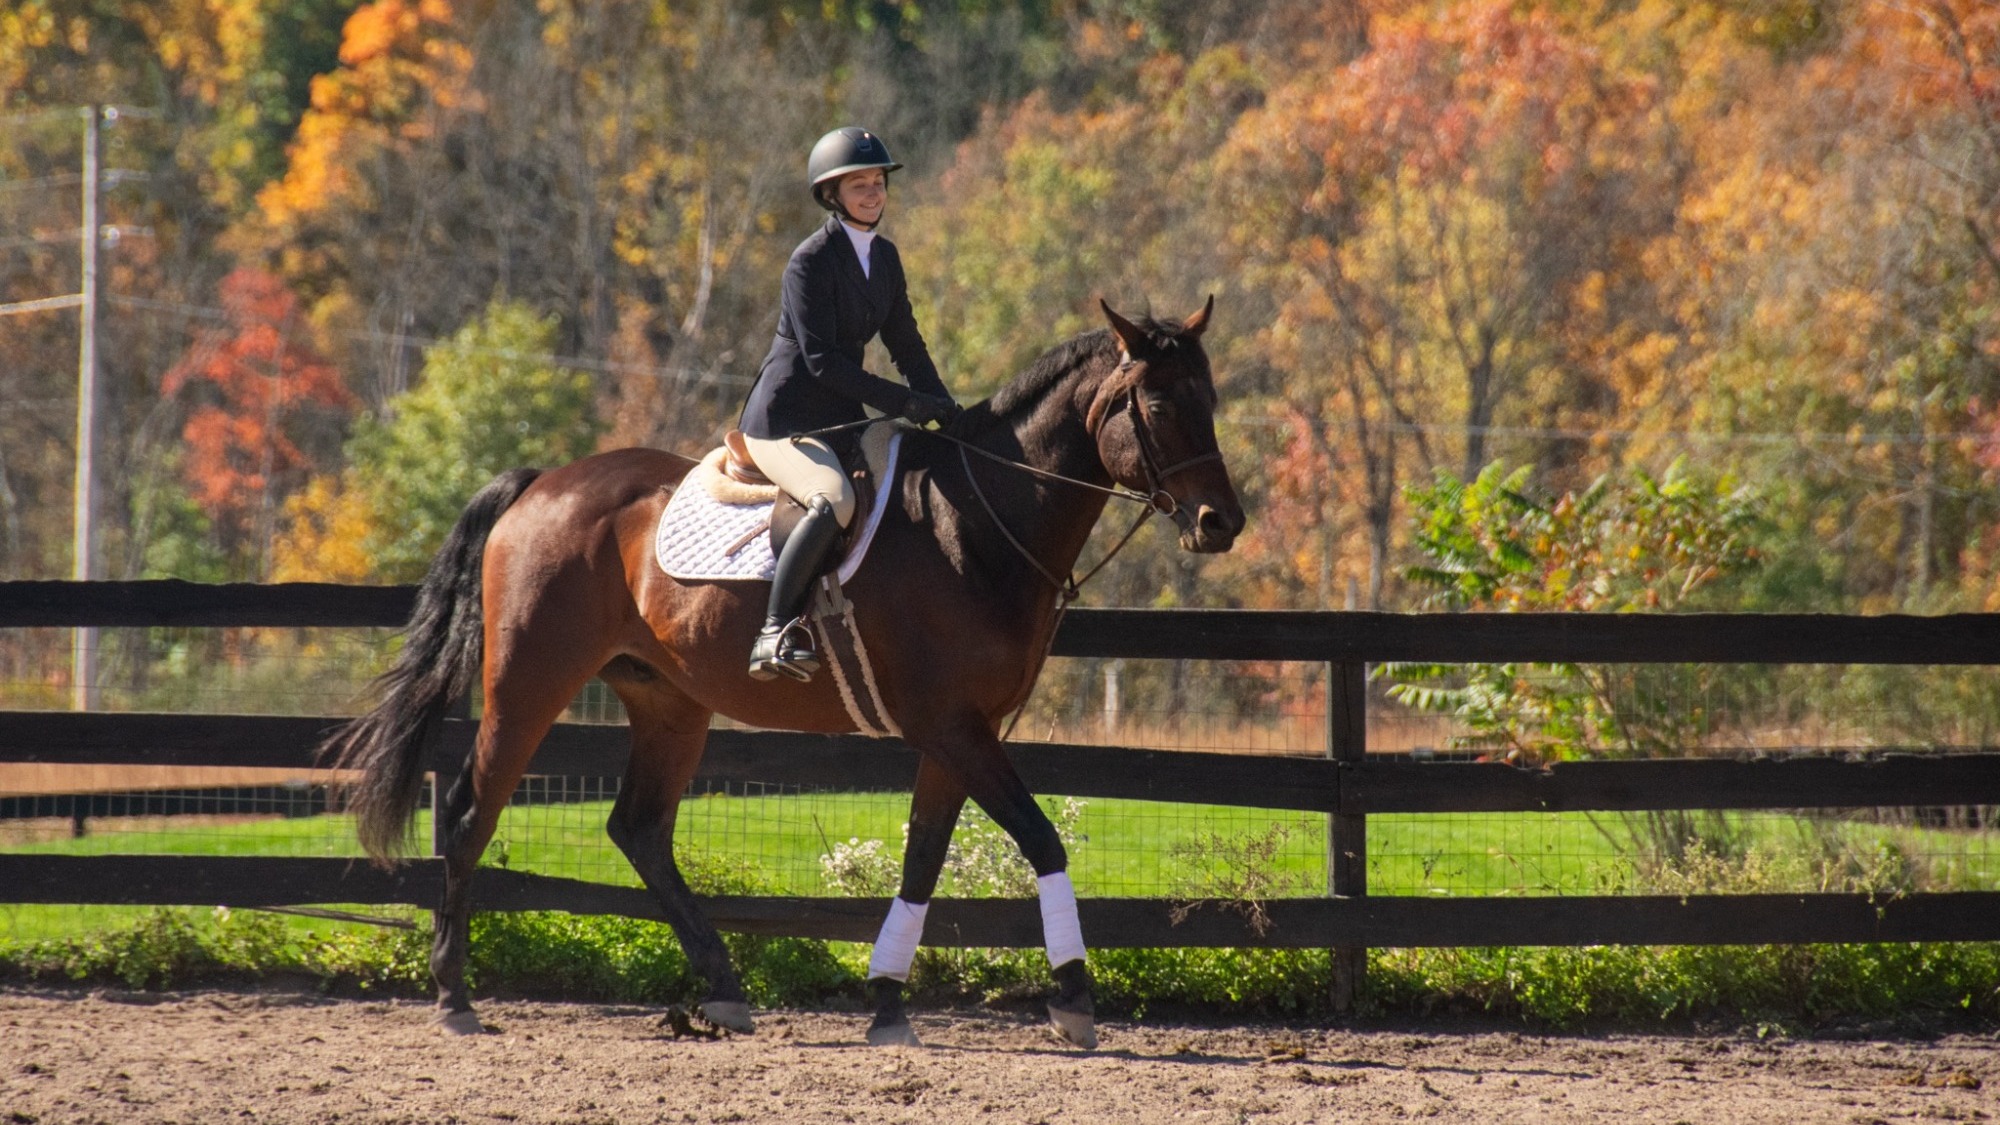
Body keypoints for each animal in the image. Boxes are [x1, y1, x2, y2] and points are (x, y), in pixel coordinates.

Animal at [322, 297, 1245, 1049]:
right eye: (1158, 404)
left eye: (1210, 401)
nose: (1221, 523)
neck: (974, 524)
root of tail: (543, 482)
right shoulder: (953, 726)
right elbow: (1039, 837)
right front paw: (1074, 999)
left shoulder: (956, 734)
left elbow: (922, 858)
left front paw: (887, 1001)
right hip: (528, 683)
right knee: (470, 811)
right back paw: (454, 995)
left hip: (668, 702)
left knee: (639, 829)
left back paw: (724, 990)